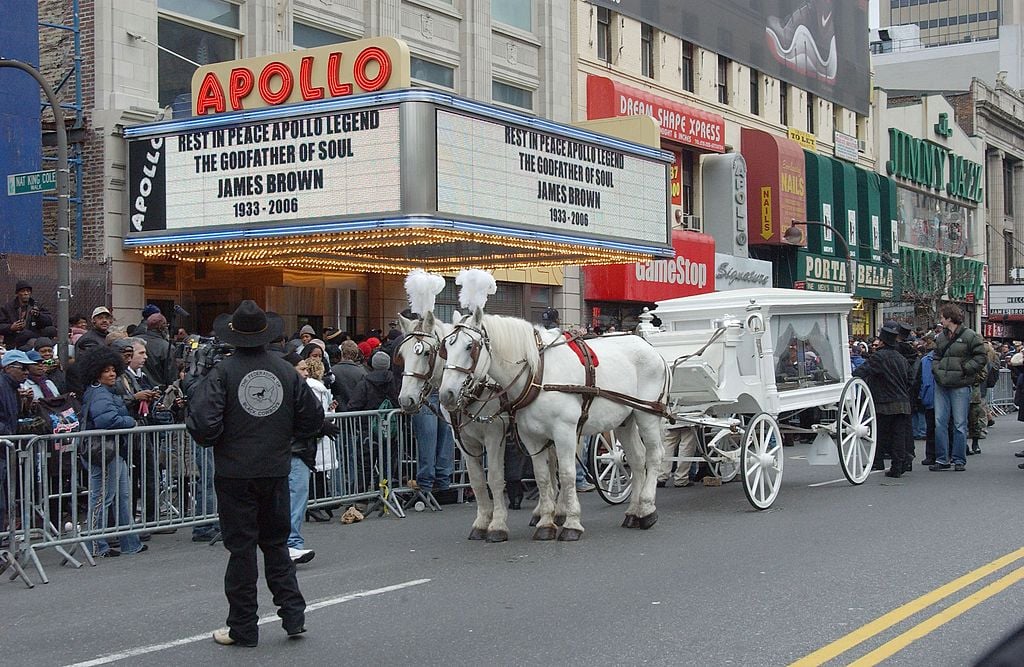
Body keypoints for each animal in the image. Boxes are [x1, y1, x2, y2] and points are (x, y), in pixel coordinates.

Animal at [440, 311, 671, 540]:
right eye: (446, 349)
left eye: (470, 346)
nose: (446, 395)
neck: (538, 375)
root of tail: (650, 348)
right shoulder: (531, 437)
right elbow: (543, 477)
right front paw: (545, 523)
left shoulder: (563, 432)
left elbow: (567, 475)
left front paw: (572, 523)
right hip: (625, 421)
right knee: (636, 459)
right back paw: (634, 513)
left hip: (646, 415)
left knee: (654, 455)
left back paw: (647, 509)